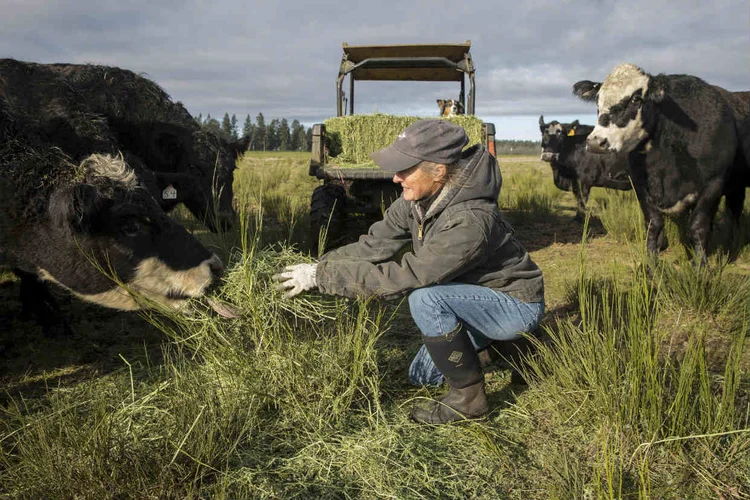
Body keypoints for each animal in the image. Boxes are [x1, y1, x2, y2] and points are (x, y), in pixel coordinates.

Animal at [576, 63, 750, 260]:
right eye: (598, 101)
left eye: (636, 99)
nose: (596, 142)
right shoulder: (641, 185)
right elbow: (654, 225)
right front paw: (651, 263)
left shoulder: (713, 184)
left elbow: (698, 226)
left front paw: (700, 265)